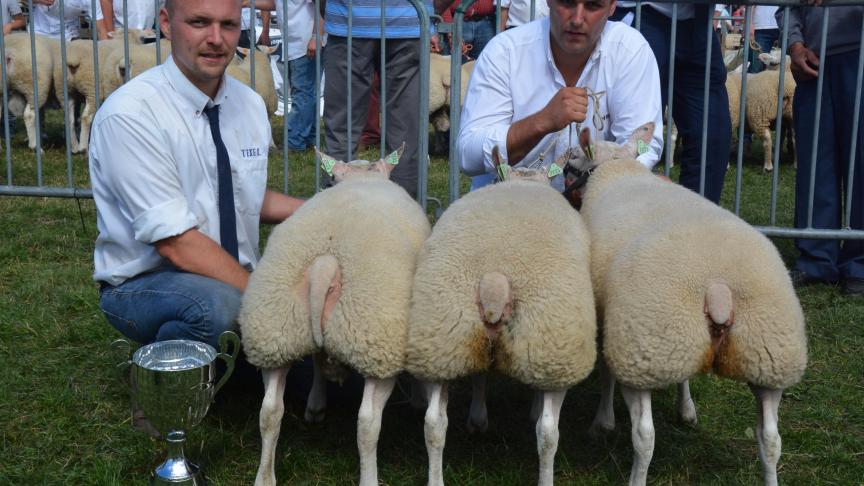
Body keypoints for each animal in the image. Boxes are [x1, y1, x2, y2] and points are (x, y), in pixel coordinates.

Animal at [238, 144, 430, 486]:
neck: (362, 178)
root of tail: (325, 263)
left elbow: (316, 361)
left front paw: (316, 405)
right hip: (376, 345)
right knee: (367, 422)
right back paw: (370, 478)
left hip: (274, 333)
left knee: (270, 410)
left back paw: (265, 476)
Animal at [406, 152, 596, 486]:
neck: (523, 182)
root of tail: (494, 281)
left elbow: (481, 375)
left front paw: (478, 418)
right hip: (555, 348)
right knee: (548, 433)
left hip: (443, 341)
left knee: (434, 423)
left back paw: (436, 477)